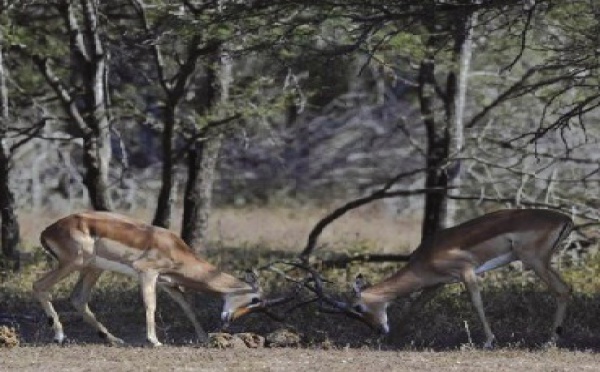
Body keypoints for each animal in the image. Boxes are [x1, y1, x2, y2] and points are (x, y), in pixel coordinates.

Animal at [32, 211, 296, 348]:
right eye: (254, 300)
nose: (228, 320)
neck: (175, 248)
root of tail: (47, 230)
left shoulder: (168, 283)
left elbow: (187, 307)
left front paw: (203, 338)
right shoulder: (147, 273)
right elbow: (151, 305)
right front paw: (154, 340)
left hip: (93, 268)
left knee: (78, 299)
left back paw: (113, 339)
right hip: (74, 263)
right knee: (39, 286)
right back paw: (59, 336)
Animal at [312, 209, 576, 348]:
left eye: (358, 307)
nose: (379, 330)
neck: (426, 257)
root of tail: (565, 218)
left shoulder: (466, 272)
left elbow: (477, 304)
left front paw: (488, 341)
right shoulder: (436, 284)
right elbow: (415, 306)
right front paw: (394, 338)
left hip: (534, 262)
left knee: (562, 290)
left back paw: (550, 342)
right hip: (542, 263)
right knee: (567, 289)